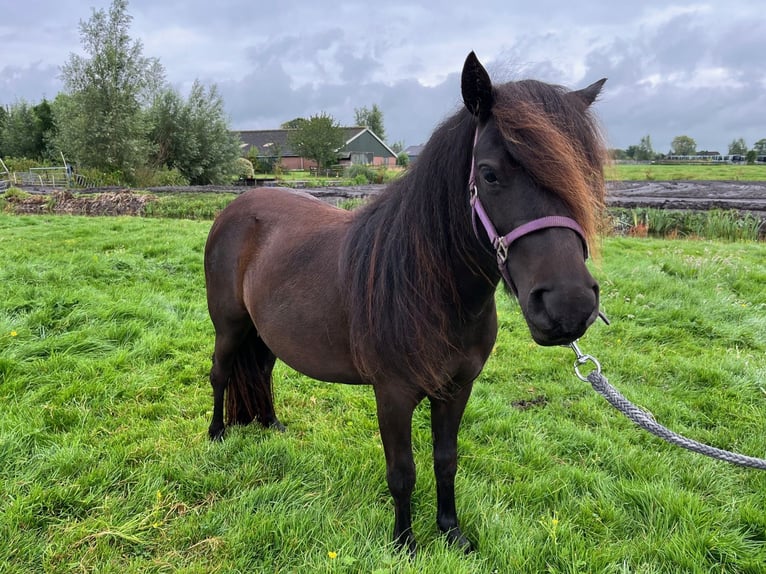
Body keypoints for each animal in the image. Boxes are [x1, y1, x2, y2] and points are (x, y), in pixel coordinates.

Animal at [206, 51, 612, 556]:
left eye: (586, 176)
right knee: (221, 373)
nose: (568, 305)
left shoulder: (456, 390)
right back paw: (217, 435)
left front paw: (452, 532)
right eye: (489, 174)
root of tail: (237, 205)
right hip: (230, 326)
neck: (431, 291)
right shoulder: (393, 394)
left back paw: (270, 427)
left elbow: (445, 460)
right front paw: (405, 543)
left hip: (263, 331)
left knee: (260, 371)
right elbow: (402, 473)